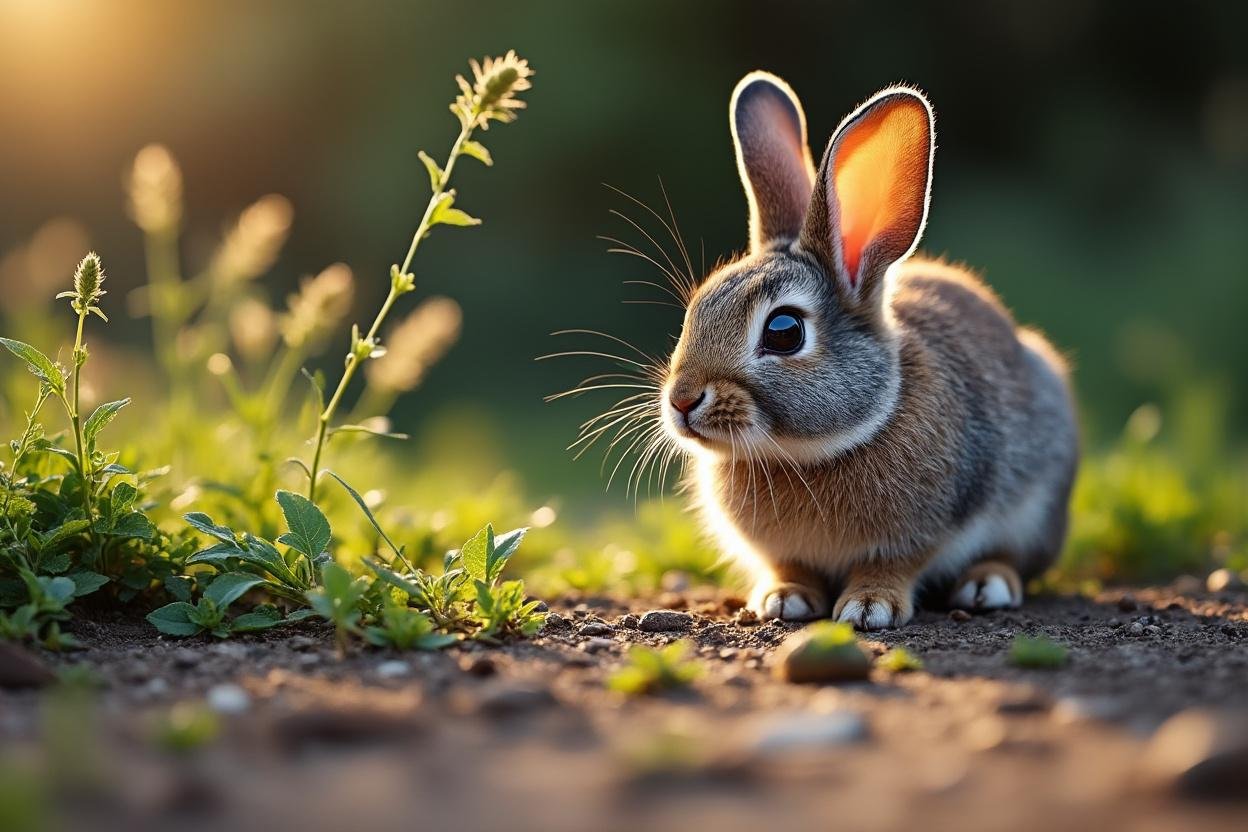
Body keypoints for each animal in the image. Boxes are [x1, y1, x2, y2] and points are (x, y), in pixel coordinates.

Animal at [658, 72, 1079, 629]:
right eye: (697, 307)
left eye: (784, 331)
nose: (682, 400)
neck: (807, 453)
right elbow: (790, 566)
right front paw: (783, 598)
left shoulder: (920, 532)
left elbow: (893, 565)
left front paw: (868, 606)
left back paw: (986, 584)